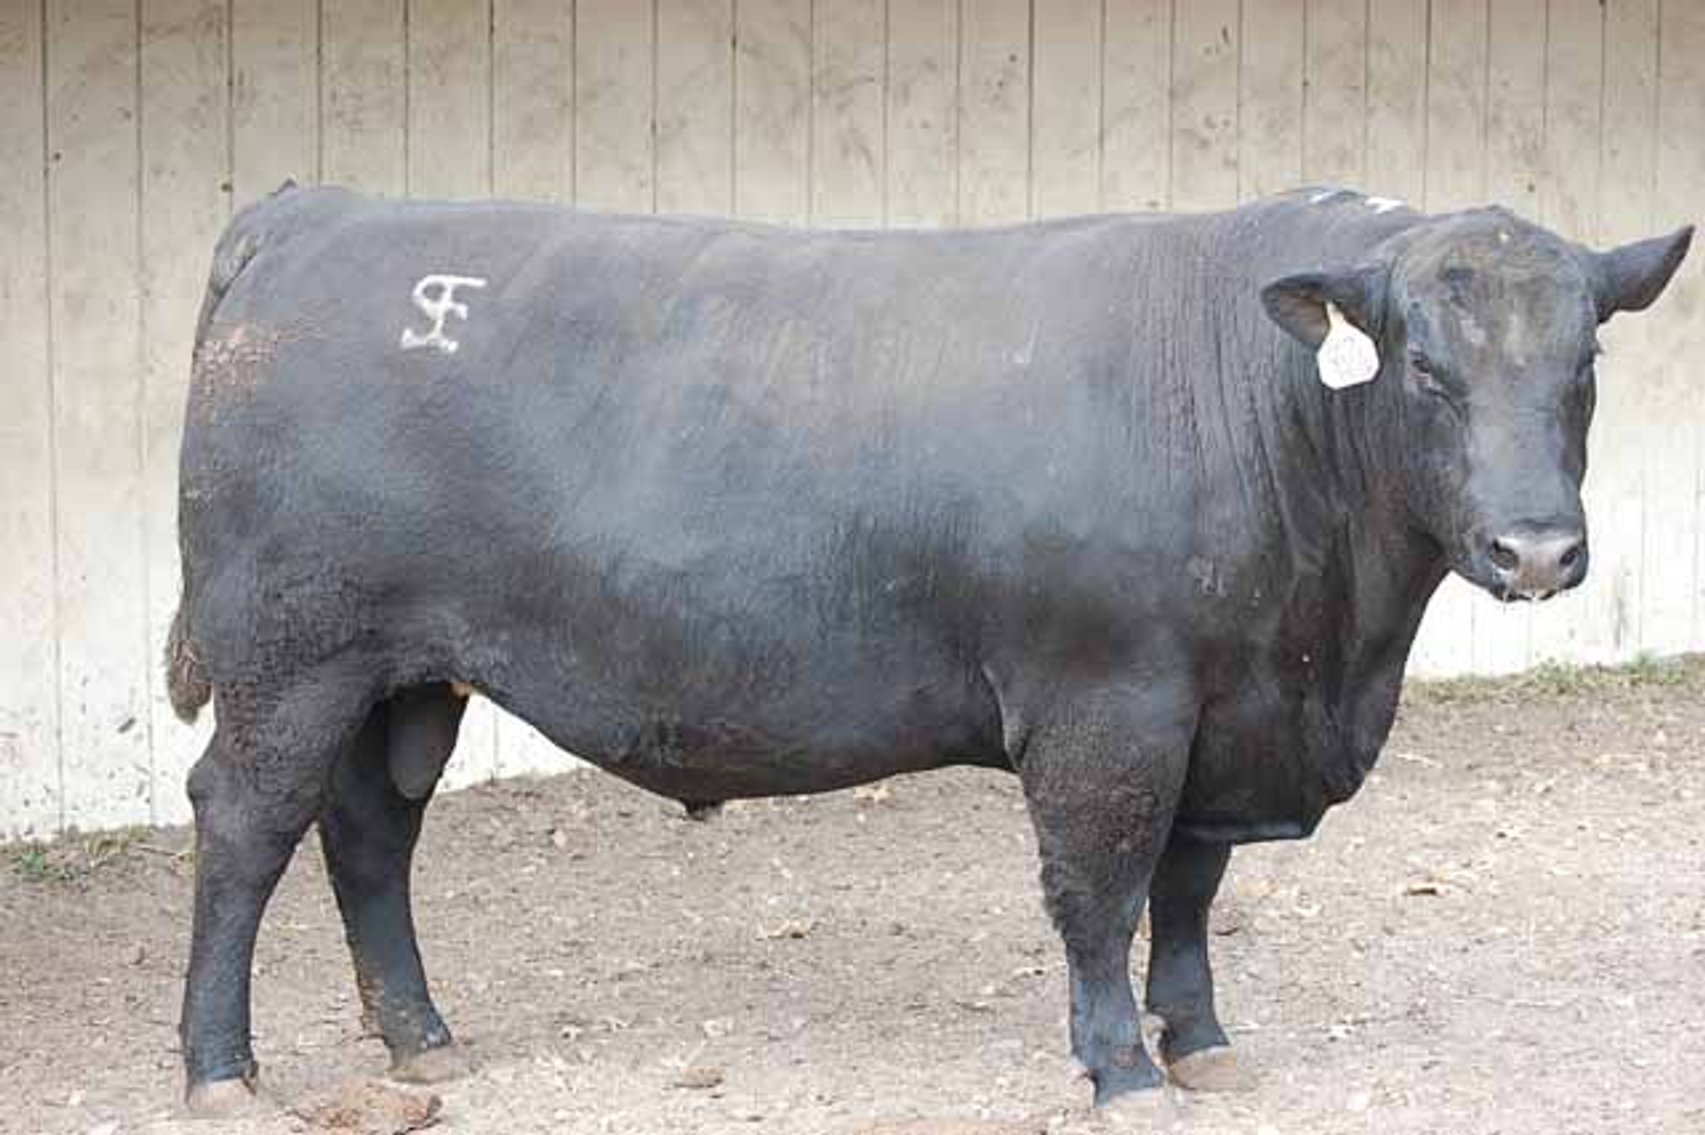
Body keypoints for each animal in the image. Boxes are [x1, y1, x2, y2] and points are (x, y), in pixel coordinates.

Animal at [166, 181, 1691, 1114]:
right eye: (1427, 370)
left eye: (1584, 367)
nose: (1536, 551)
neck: (1326, 644)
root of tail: (319, 212)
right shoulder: (1108, 703)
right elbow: (1100, 887)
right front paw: (1117, 1065)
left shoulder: (1220, 707)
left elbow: (1190, 889)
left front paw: (1200, 1043)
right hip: (287, 654)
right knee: (243, 823)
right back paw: (220, 1070)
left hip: (402, 669)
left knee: (369, 830)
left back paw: (421, 1038)